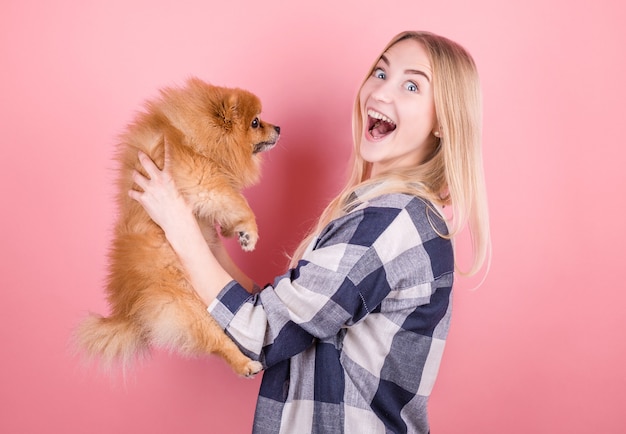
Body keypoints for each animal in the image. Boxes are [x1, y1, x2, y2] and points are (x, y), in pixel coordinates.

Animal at [74, 78, 280, 376]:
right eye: (255, 122)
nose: (278, 128)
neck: (197, 138)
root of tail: (129, 310)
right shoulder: (201, 177)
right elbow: (235, 199)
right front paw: (249, 232)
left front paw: (235, 231)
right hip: (187, 307)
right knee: (217, 342)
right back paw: (245, 364)